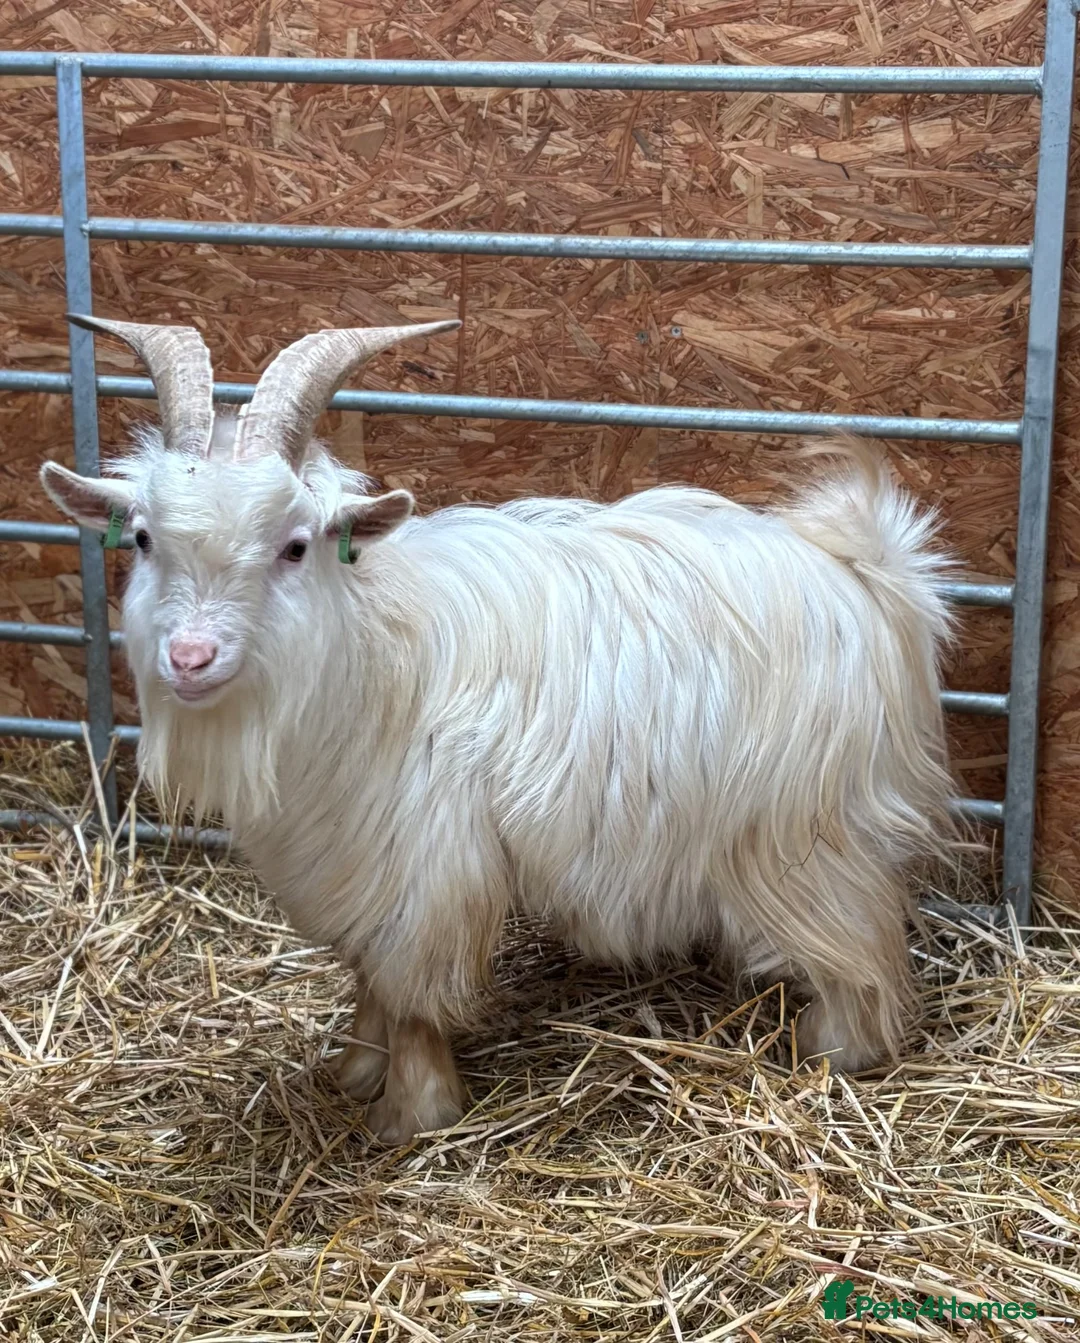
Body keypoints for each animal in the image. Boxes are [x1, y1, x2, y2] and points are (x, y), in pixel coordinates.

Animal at [41, 314, 959, 1144]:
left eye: (294, 545)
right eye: (144, 538)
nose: (191, 656)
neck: (376, 651)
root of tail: (866, 575)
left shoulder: (426, 864)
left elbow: (409, 992)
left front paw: (410, 1113)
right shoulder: (354, 858)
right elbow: (368, 975)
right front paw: (356, 1068)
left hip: (801, 832)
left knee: (862, 948)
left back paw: (834, 1051)